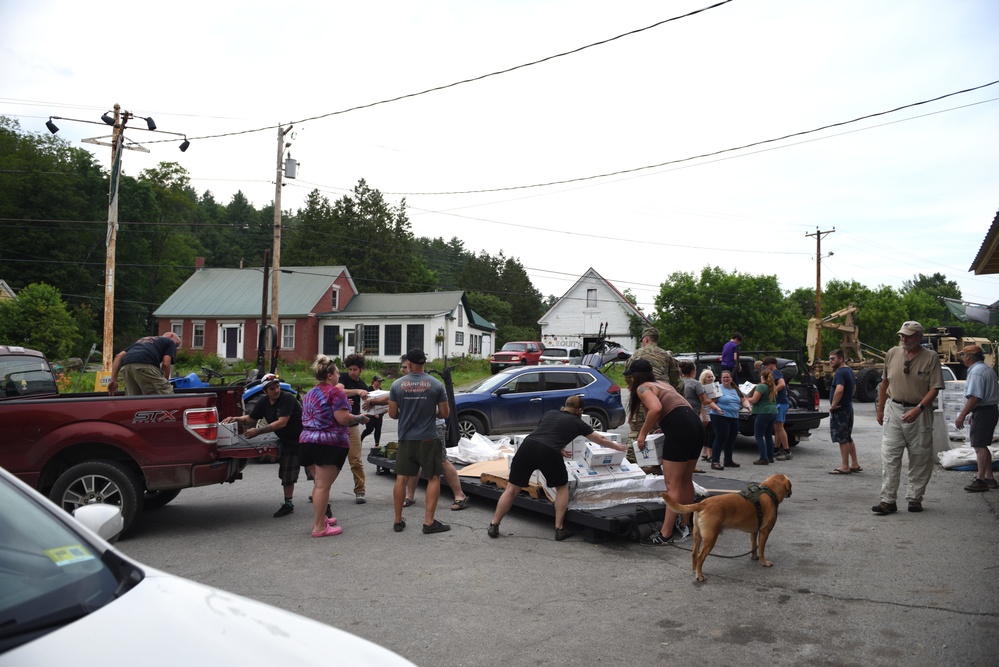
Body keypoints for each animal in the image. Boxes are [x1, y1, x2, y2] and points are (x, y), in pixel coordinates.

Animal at [660, 472, 792, 580]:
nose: (791, 493)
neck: (770, 491)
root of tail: (703, 503)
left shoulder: (754, 531)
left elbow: (754, 546)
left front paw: (754, 557)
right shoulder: (765, 531)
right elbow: (761, 549)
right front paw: (763, 562)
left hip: (698, 535)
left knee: (694, 553)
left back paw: (694, 570)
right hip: (711, 538)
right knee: (700, 556)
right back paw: (699, 575)